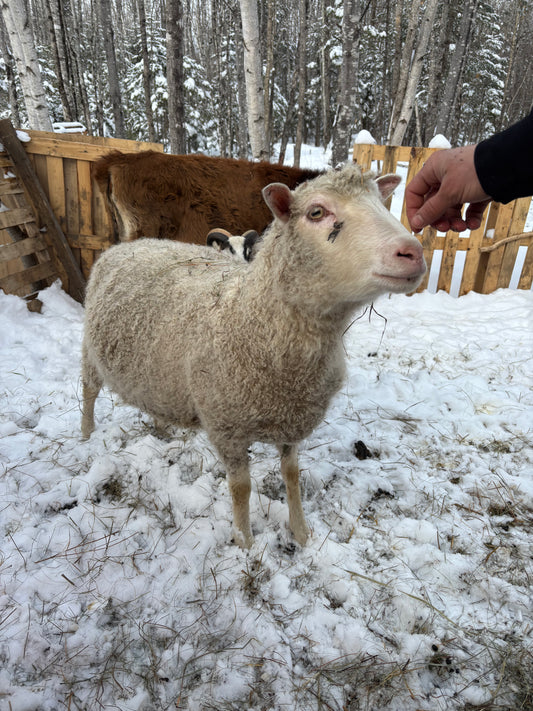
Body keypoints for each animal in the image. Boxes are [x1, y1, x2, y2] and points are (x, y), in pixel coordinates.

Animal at [81, 163, 426, 548]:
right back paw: (85, 435)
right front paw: (244, 541)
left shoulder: (292, 419)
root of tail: (132, 244)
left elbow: (292, 474)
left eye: (382, 203)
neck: (253, 317)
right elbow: (241, 488)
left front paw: (301, 533)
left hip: (155, 372)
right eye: (316, 212)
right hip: (89, 351)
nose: (412, 252)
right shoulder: (226, 428)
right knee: (89, 392)